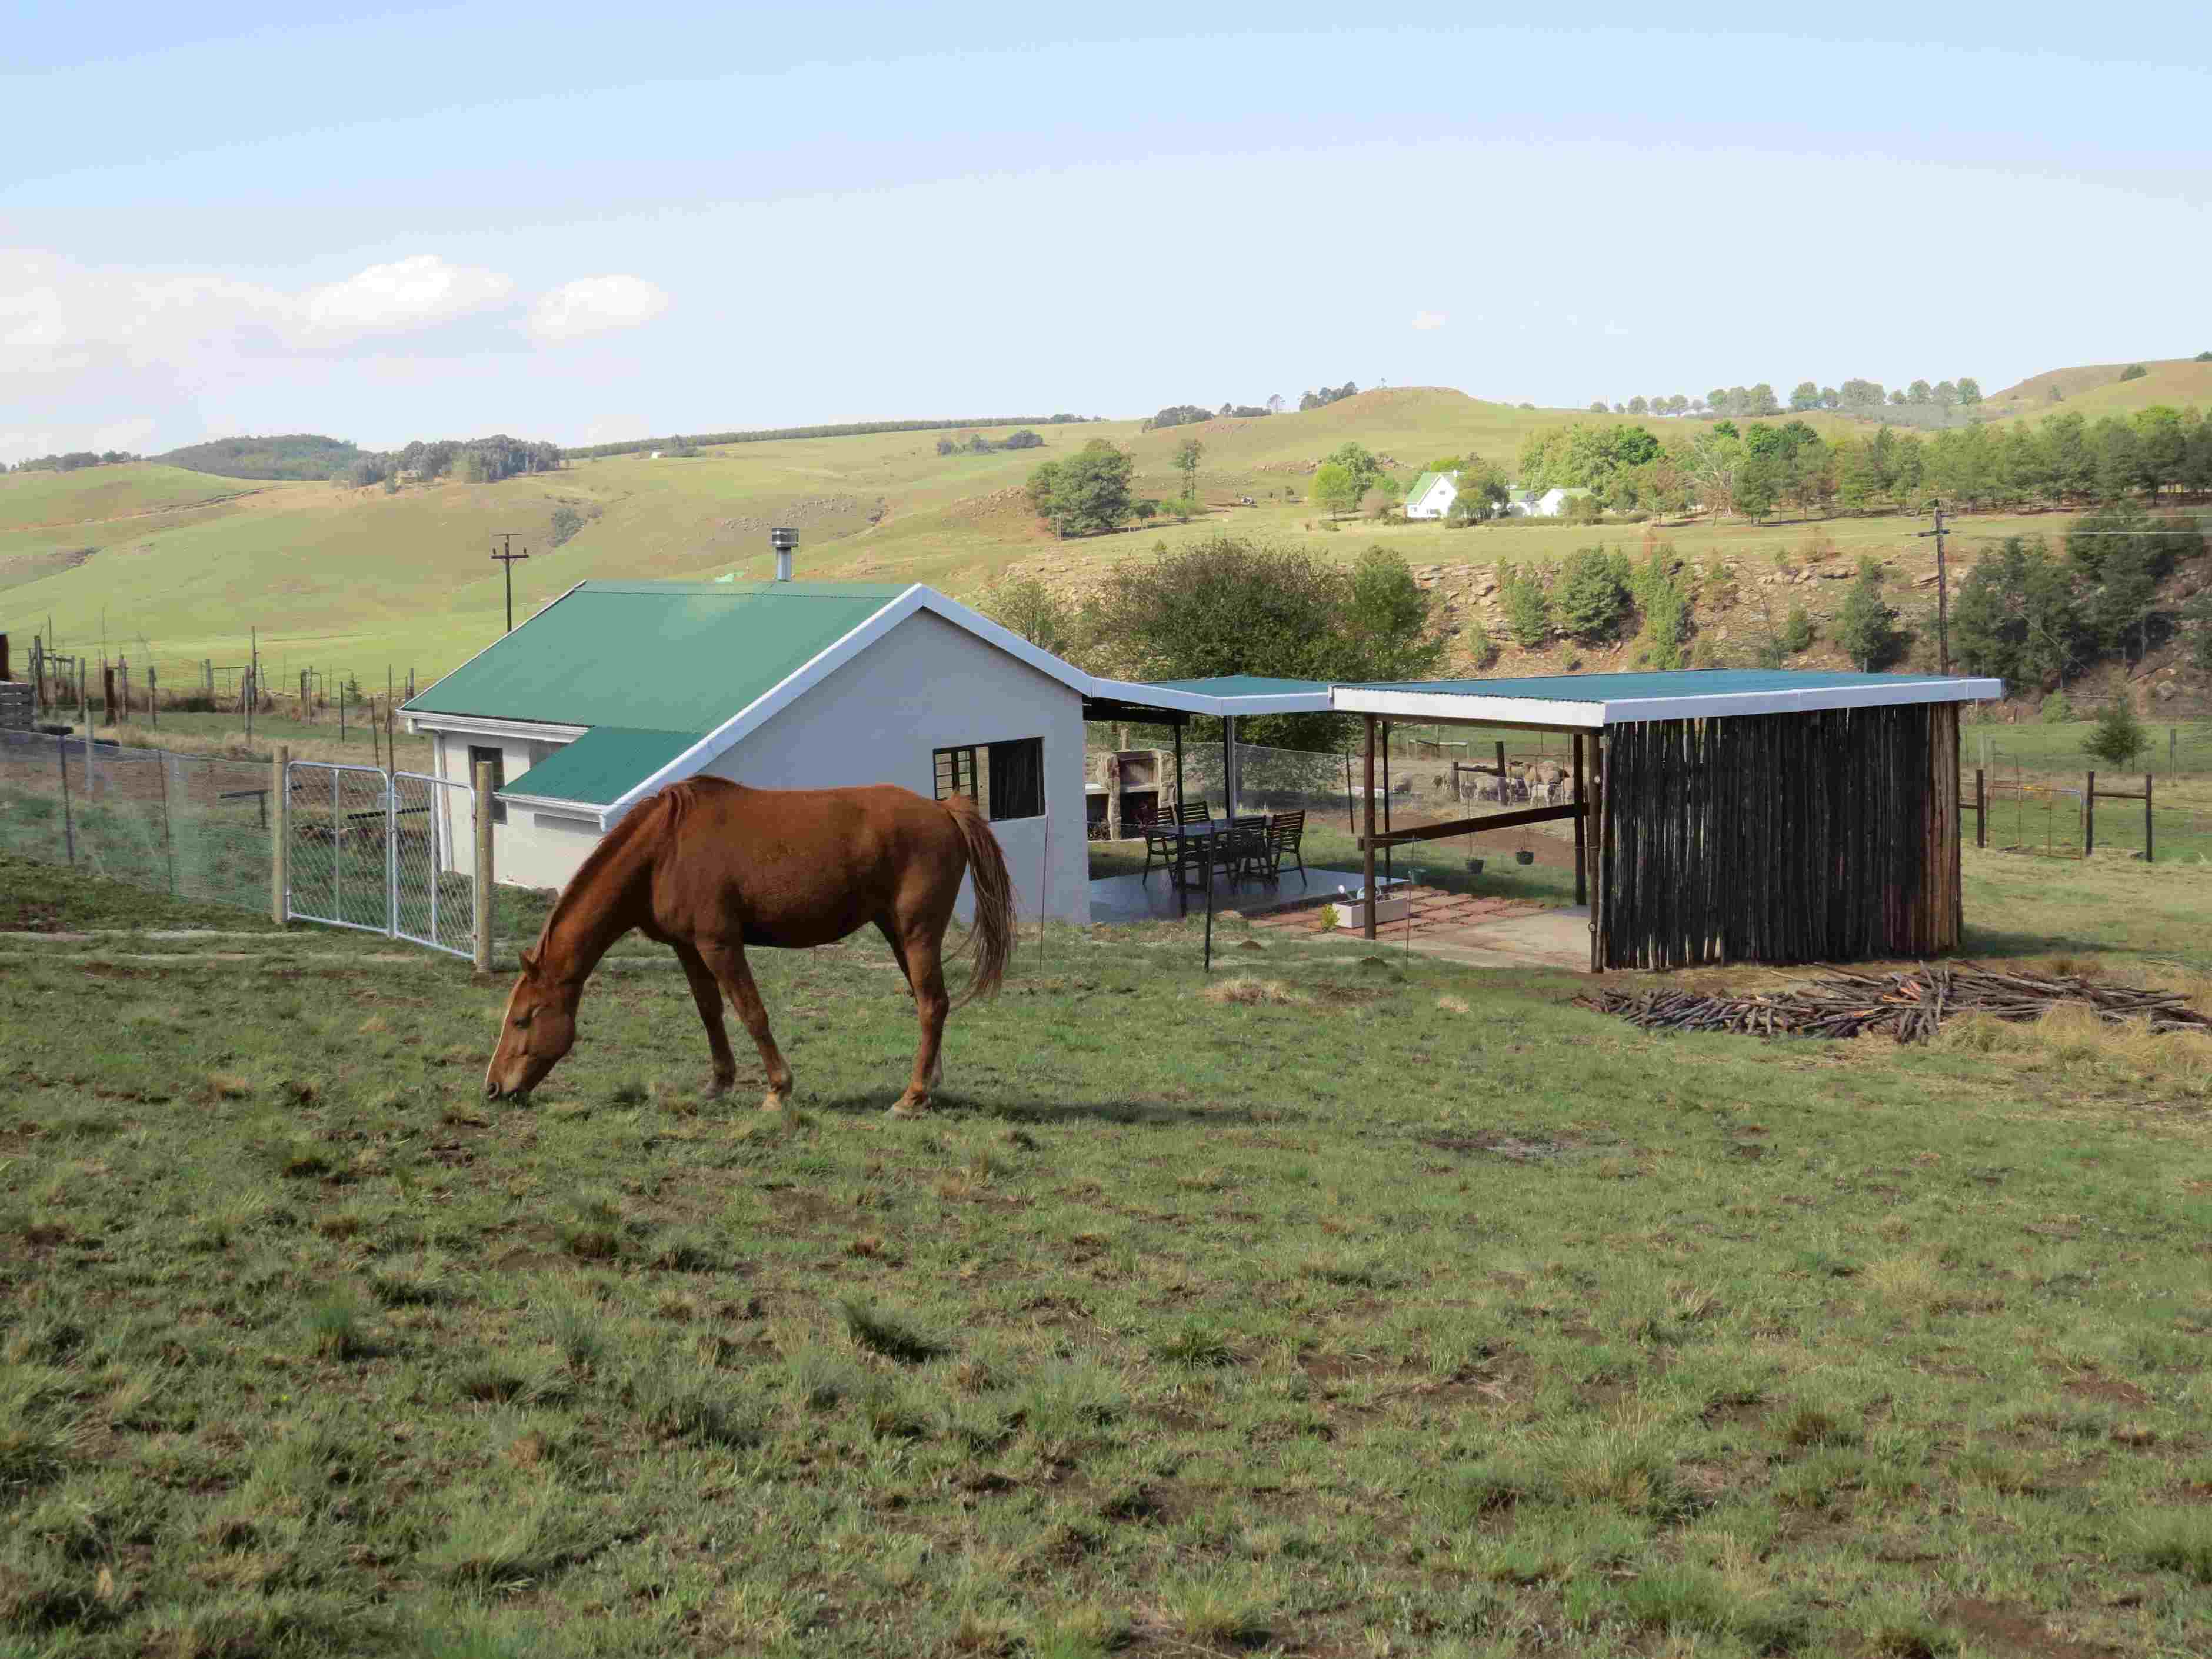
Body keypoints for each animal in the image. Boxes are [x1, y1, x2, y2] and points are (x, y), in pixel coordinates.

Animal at [482, 777, 1015, 1117]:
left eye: (523, 1019)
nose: (492, 1088)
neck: (664, 851)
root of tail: (944, 810)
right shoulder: (688, 949)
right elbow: (710, 1012)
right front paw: (718, 1084)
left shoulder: (720, 944)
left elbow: (751, 1012)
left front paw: (778, 1090)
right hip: (898, 934)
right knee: (931, 1005)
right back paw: (929, 1085)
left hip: (917, 933)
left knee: (932, 1004)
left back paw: (911, 1097)